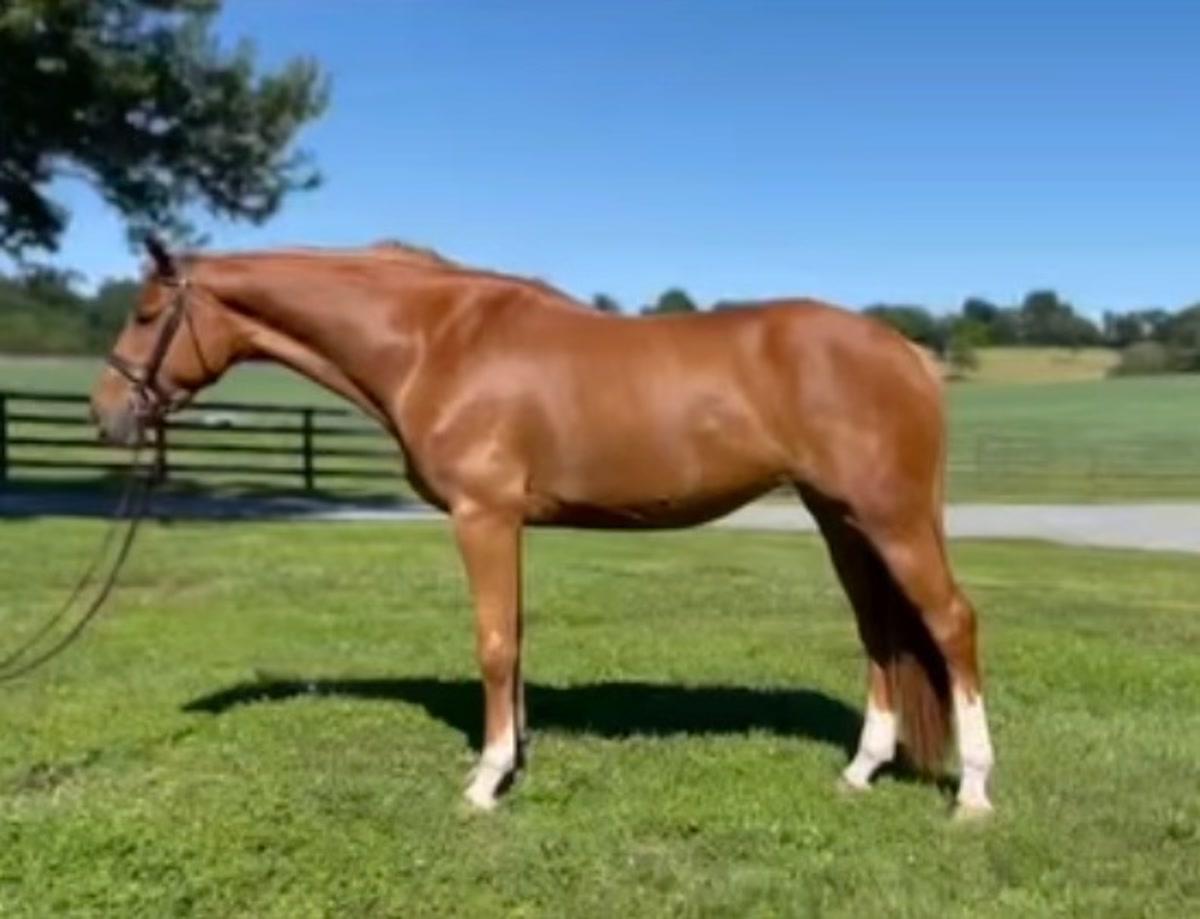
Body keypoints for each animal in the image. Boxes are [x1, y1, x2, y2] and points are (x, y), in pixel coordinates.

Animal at [89, 235, 995, 818]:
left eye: (146, 314)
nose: (106, 413)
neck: (435, 340)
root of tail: (907, 353)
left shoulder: (482, 515)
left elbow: (492, 642)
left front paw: (485, 781)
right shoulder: (509, 523)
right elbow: (515, 638)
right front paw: (512, 755)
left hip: (889, 517)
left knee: (950, 623)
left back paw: (975, 790)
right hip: (841, 520)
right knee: (879, 631)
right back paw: (862, 770)